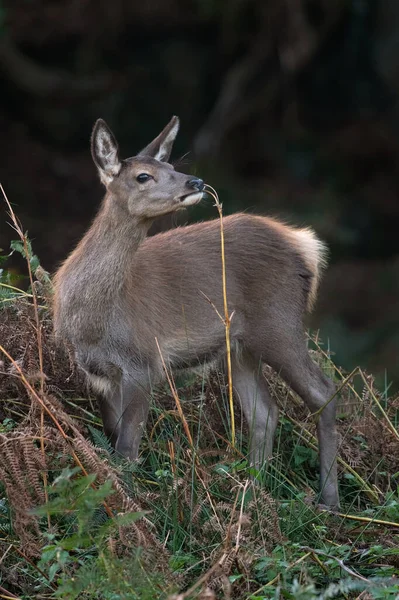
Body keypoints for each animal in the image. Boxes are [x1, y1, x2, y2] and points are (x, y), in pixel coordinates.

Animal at [53, 118, 340, 510]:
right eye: (144, 175)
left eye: (172, 166)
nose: (196, 182)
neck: (93, 320)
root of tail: (305, 245)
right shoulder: (99, 374)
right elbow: (111, 444)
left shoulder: (145, 361)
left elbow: (127, 449)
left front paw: (131, 505)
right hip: (239, 346)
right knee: (264, 412)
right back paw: (252, 491)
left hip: (279, 324)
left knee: (323, 392)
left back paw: (328, 501)